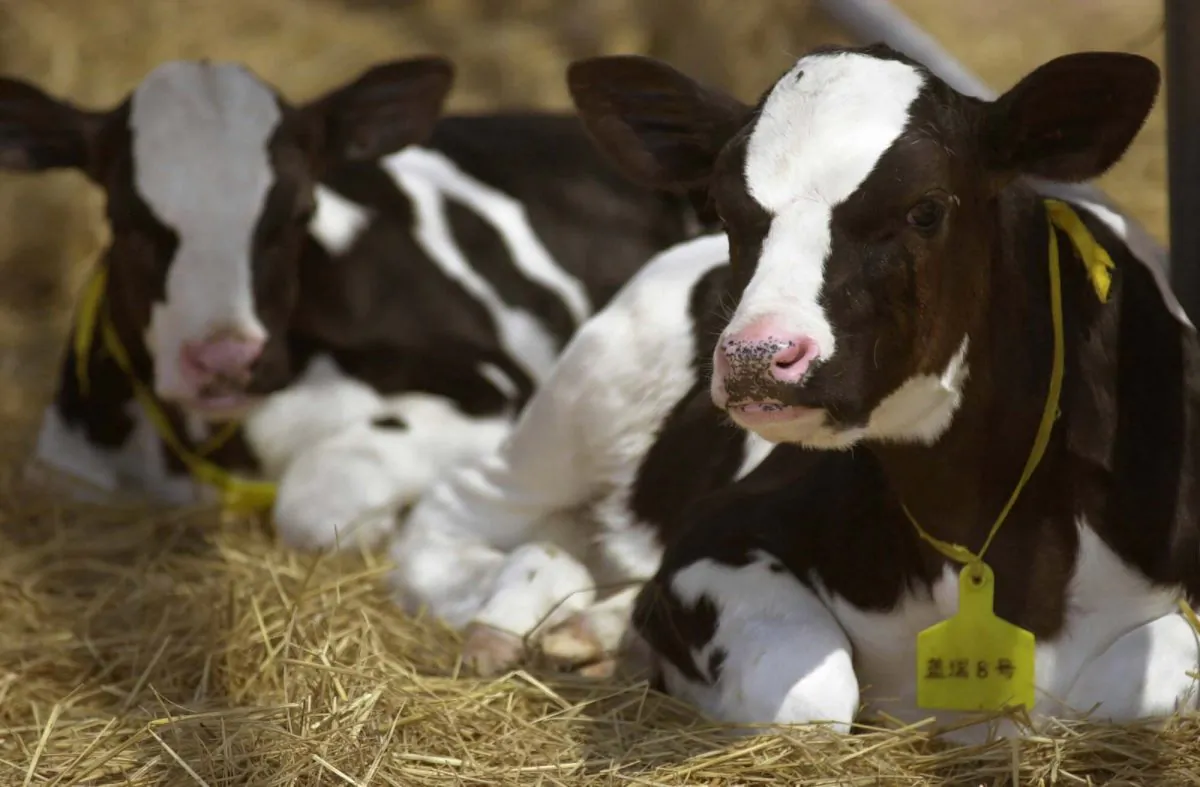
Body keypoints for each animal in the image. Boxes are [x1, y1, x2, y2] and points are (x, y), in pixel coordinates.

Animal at [0, 55, 712, 550]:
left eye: (296, 212)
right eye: (126, 219)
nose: (226, 360)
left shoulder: (488, 389)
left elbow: (315, 498)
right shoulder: (68, 467)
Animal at [389, 43, 1200, 744]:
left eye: (925, 208)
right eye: (724, 208)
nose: (757, 356)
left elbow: (1149, 678)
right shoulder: (715, 537)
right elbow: (811, 694)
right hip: (579, 400)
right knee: (455, 514)